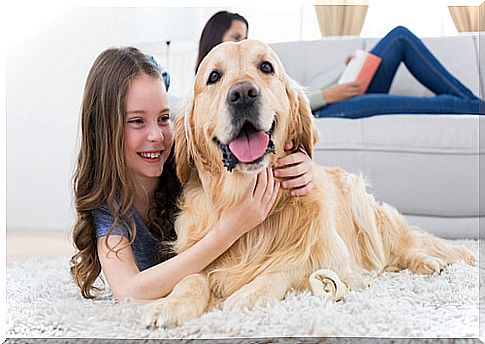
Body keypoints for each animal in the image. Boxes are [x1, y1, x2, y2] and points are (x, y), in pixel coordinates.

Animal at [142, 39, 474, 328]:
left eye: (266, 67)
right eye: (213, 76)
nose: (243, 93)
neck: (240, 195)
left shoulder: (333, 257)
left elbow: (288, 267)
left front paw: (247, 295)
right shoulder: (195, 252)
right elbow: (189, 277)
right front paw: (169, 305)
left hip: (365, 210)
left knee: (403, 246)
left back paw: (428, 261)